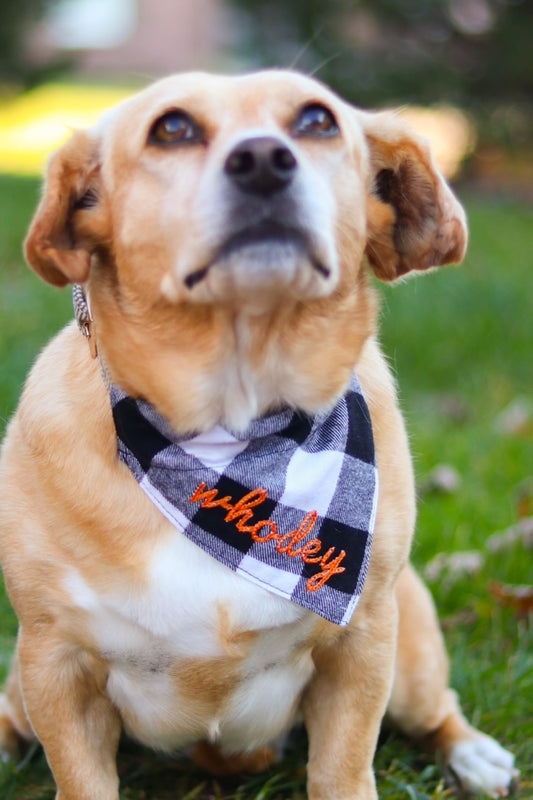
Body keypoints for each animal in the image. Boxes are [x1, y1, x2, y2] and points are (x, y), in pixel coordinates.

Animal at [0, 70, 516, 800]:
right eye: (172, 128)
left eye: (317, 120)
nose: (265, 161)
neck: (231, 434)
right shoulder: (55, 665)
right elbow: (81, 778)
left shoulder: (362, 646)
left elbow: (342, 769)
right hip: (21, 688)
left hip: (410, 656)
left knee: (436, 710)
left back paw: (474, 754)